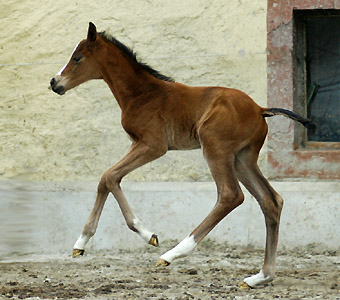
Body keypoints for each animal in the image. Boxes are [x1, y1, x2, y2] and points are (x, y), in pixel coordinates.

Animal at [50, 22, 316, 288]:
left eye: (77, 58)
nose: (55, 82)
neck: (142, 94)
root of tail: (261, 109)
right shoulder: (137, 144)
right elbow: (106, 178)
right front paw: (80, 244)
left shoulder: (153, 145)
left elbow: (110, 176)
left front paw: (148, 235)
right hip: (242, 158)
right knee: (271, 200)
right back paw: (260, 277)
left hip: (215, 148)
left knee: (231, 195)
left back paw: (173, 254)